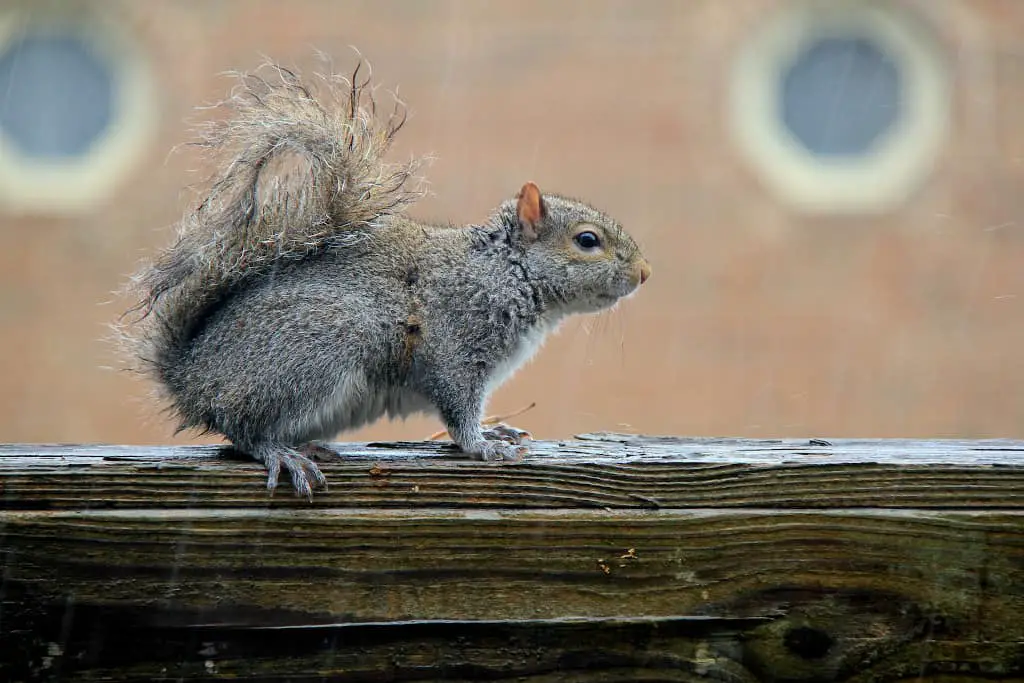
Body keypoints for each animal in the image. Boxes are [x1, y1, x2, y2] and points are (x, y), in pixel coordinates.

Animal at [117, 60, 647, 497]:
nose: (644, 272)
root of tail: (189, 378)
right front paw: (482, 445)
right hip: (318, 347)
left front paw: (497, 431)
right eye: (587, 240)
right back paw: (281, 453)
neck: (505, 271)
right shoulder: (457, 341)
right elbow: (458, 406)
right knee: (242, 429)